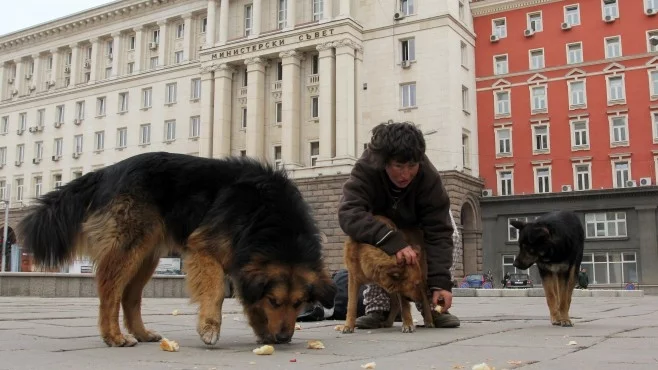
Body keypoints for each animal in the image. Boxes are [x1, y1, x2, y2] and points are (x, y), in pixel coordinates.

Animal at [18, 151, 336, 346]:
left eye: (299, 303)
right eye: (275, 301)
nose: (283, 338)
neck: (266, 216)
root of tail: (107, 171)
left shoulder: (242, 262)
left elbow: (249, 301)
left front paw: (262, 332)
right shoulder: (204, 249)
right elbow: (216, 292)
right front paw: (210, 327)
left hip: (146, 256)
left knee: (129, 297)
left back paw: (141, 333)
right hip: (129, 248)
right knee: (110, 293)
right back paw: (113, 337)